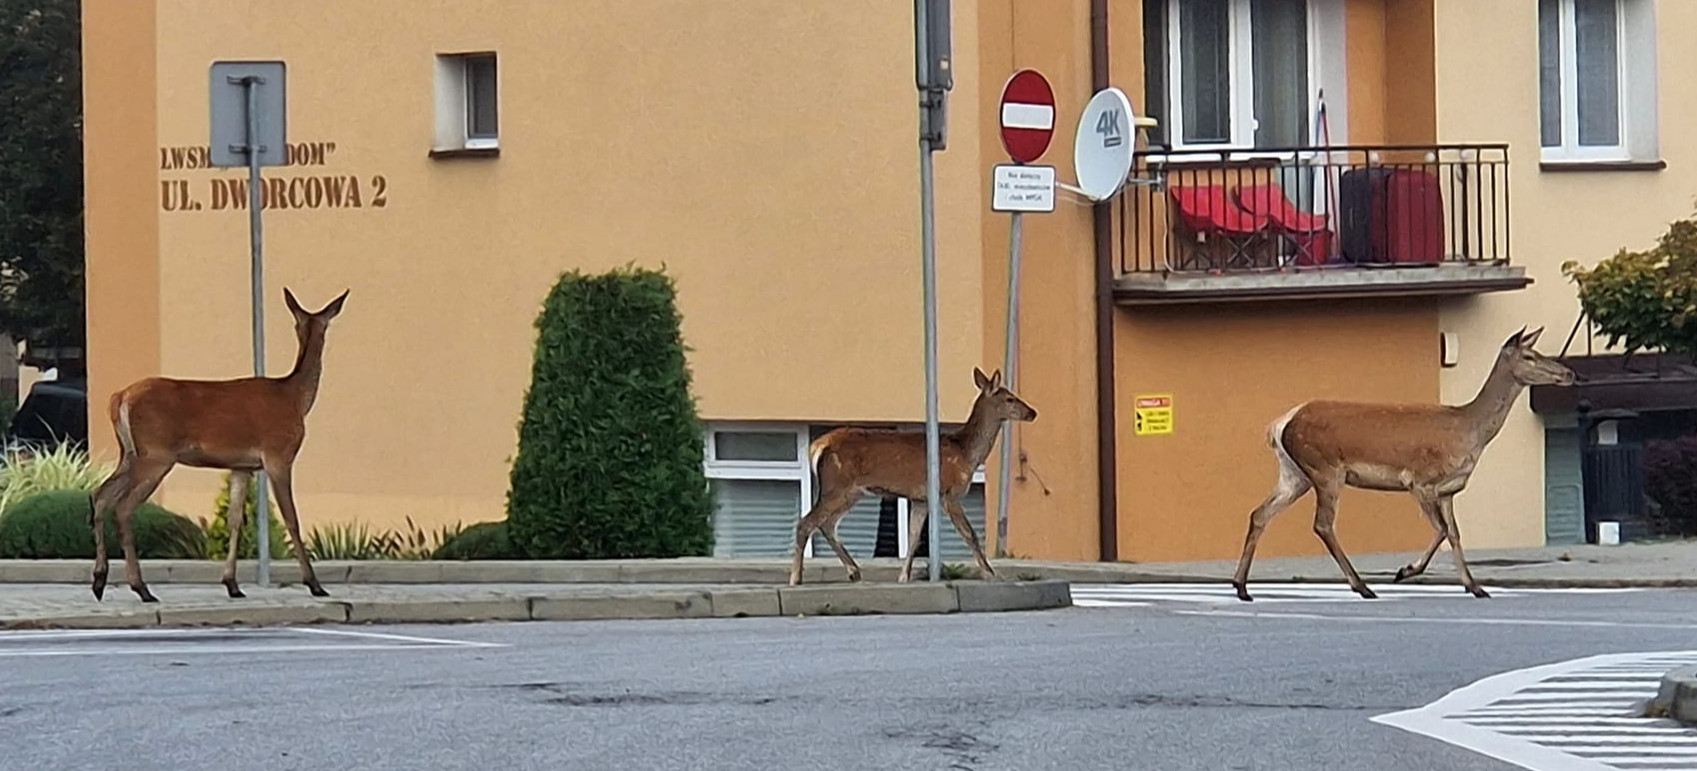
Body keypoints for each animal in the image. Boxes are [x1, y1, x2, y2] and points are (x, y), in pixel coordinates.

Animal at [91, 287, 349, 601]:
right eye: (325, 324)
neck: (295, 398)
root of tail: (119, 397)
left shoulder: (242, 466)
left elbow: (235, 519)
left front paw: (232, 583)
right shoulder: (278, 455)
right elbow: (292, 518)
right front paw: (314, 583)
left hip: (128, 453)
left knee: (101, 494)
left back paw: (100, 581)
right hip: (156, 454)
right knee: (123, 506)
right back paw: (141, 588)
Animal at [790, 366, 1031, 584]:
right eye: (1010, 398)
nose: (1032, 412)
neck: (965, 453)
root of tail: (817, 446)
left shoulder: (921, 498)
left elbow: (914, 538)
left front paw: (904, 576)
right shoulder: (949, 492)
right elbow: (969, 533)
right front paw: (990, 573)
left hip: (851, 492)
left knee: (827, 524)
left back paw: (854, 571)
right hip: (837, 484)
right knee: (806, 523)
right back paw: (796, 578)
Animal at [1235, 326, 1574, 601]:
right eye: (1529, 355)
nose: (1569, 374)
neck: (1469, 431)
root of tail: (1280, 424)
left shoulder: (1449, 490)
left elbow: (1454, 533)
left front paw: (1475, 586)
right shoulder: (1420, 481)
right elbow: (1441, 530)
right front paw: (1406, 570)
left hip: (1295, 473)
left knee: (1260, 513)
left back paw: (1242, 587)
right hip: (1325, 469)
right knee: (1322, 523)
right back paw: (1362, 586)